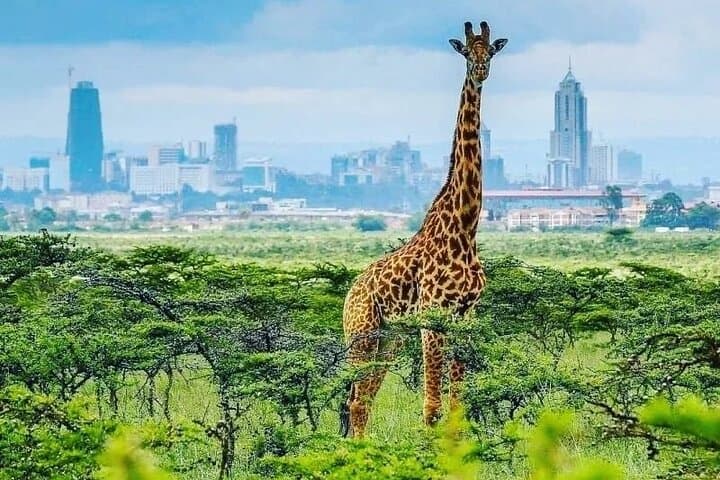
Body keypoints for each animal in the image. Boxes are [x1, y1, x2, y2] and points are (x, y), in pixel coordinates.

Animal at [340, 21, 507, 438]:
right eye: (466, 51)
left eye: (490, 51)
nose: (481, 71)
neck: (465, 226)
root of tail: (349, 294)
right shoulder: (433, 317)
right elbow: (431, 407)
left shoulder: (465, 316)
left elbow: (456, 405)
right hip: (361, 334)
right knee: (355, 400)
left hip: (390, 337)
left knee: (364, 400)